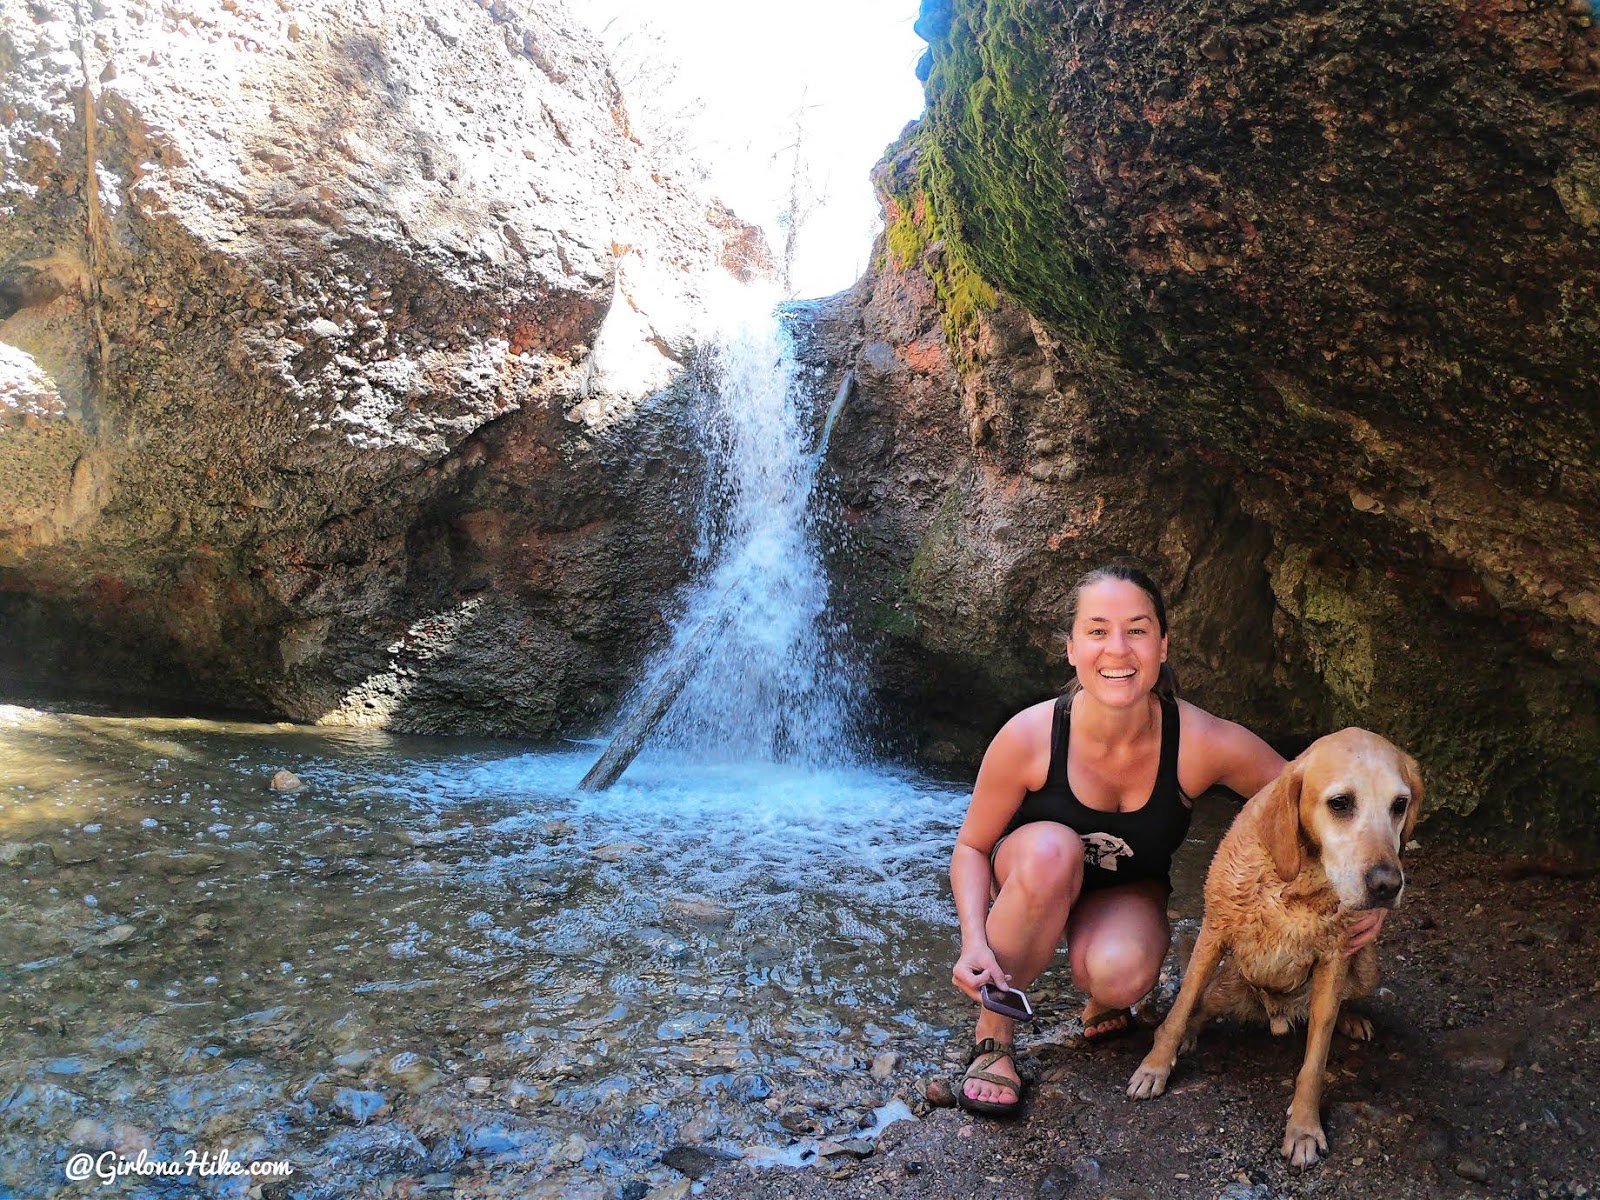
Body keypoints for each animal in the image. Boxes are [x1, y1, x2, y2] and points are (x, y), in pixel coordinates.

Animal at [1126, 729, 1427, 1171]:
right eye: (1340, 803)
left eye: (1400, 804)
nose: (1387, 885)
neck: (1301, 884)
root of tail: (1279, 1013)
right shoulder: (1213, 932)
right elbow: (1180, 1009)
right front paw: (1155, 1067)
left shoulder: (1335, 958)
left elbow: (1315, 1061)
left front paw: (1303, 1128)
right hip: (1227, 985)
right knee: (1201, 1006)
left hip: (1367, 966)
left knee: (1338, 1003)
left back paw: (1350, 1018)